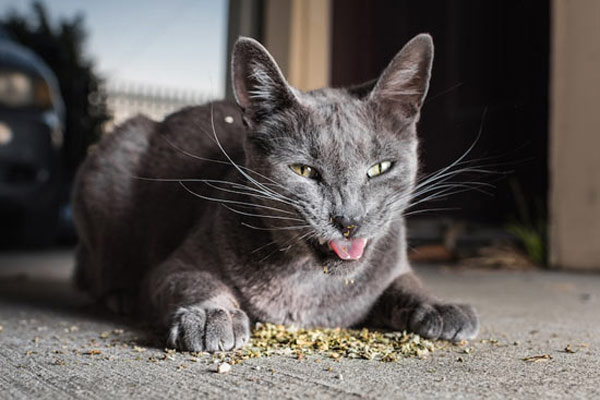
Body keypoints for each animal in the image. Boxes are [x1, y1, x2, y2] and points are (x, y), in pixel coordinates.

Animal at [74, 35, 478, 354]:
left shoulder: (394, 266)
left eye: (380, 168)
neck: (307, 283)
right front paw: (212, 316)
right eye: (304, 171)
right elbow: (195, 280)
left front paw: (442, 308)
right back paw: (122, 295)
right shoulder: (173, 266)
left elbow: (407, 283)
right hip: (115, 157)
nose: (348, 220)